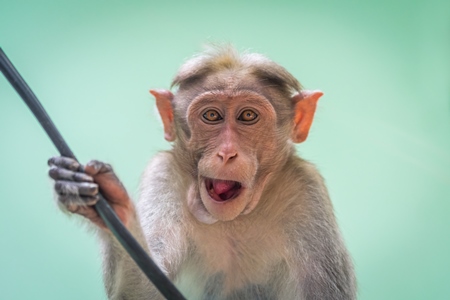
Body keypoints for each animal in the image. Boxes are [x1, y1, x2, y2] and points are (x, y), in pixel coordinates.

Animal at [47, 45, 356, 300]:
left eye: (248, 116)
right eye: (211, 116)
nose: (227, 153)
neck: (233, 219)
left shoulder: (306, 191)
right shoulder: (163, 175)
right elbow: (143, 293)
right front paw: (114, 204)